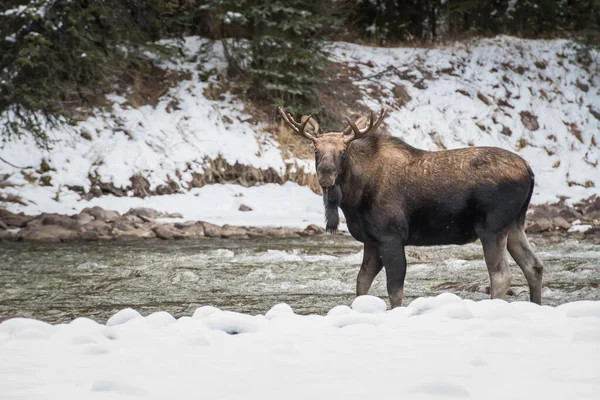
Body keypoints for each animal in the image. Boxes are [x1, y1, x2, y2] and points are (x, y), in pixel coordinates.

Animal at [278, 108, 544, 308]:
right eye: (316, 150)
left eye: (343, 151)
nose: (326, 175)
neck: (353, 198)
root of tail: (529, 170)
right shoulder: (371, 240)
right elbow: (361, 283)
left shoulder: (391, 236)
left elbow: (394, 289)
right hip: (515, 224)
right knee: (534, 266)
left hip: (491, 227)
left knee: (501, 276)